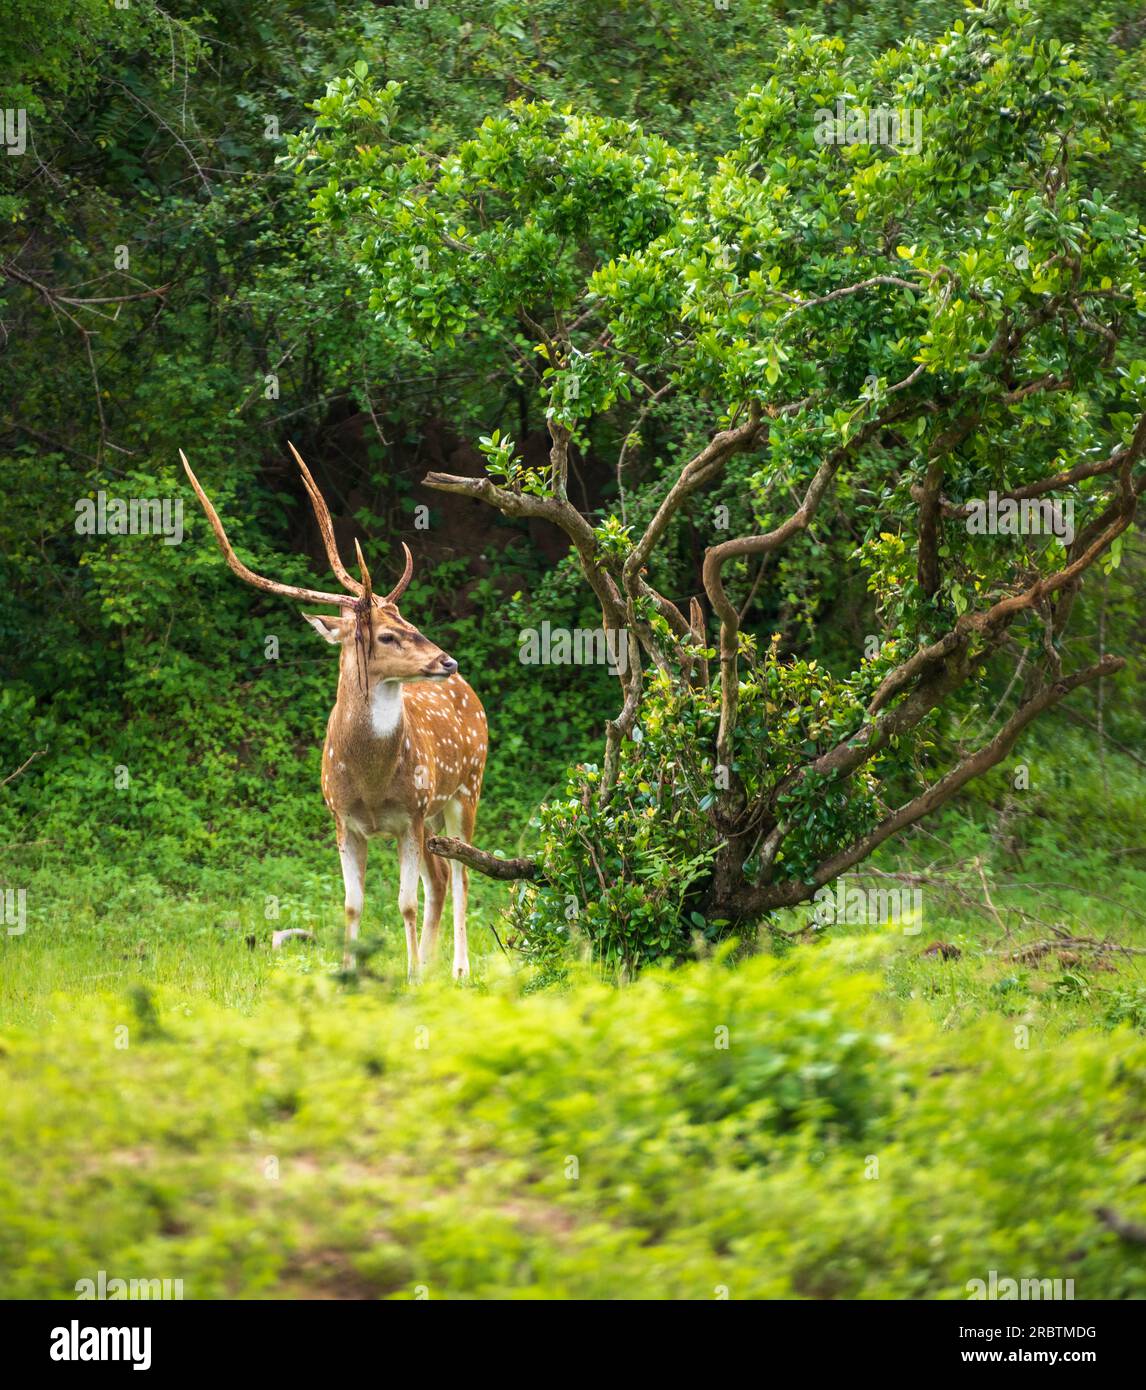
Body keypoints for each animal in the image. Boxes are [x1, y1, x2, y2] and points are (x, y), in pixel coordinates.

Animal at [180, 444, 486, 978]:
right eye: (387, 634)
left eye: (408, 620)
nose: (446, 661)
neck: (371, 784)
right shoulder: (341, 817)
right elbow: (352, 904)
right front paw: (351, 973)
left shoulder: (409, 813)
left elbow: (404, 902)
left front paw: (409, 978)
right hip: (435, 811)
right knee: (443, 876)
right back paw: (431, 966)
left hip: (466, 786)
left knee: (464, 873)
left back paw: (457, 970)